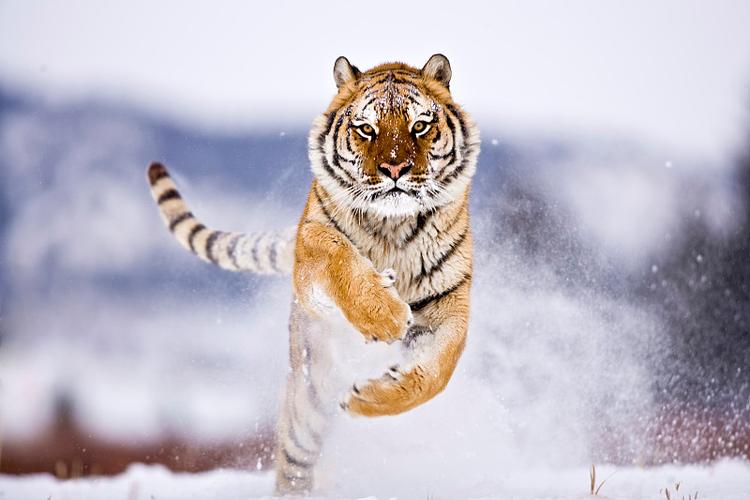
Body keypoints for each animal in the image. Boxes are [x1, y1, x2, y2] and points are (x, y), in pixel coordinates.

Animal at [146, 54, 480, 494]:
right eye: (366, 128)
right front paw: (385, 315)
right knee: (294, 458)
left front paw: (367, 398)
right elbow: (337, 253)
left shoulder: (449, 302)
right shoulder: (311, 251)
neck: (392, 226)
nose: (395, 168)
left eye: (420, 126)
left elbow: (436, 373)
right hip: (310, 395)